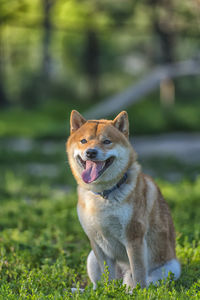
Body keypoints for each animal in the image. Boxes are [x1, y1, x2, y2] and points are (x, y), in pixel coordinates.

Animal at [66, 110, 180, 290]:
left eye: (106, 141)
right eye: (83, 141)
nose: (91, 152)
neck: (103, 194)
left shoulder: (134, 237)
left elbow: (139, 274)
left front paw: (140, 292)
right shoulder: (96, 242)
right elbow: (107, 278)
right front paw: (107, 292)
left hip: (169, 268)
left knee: (139, 281)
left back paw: (130, 291)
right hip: (91, 258)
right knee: (98, 283)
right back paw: (82, 291)